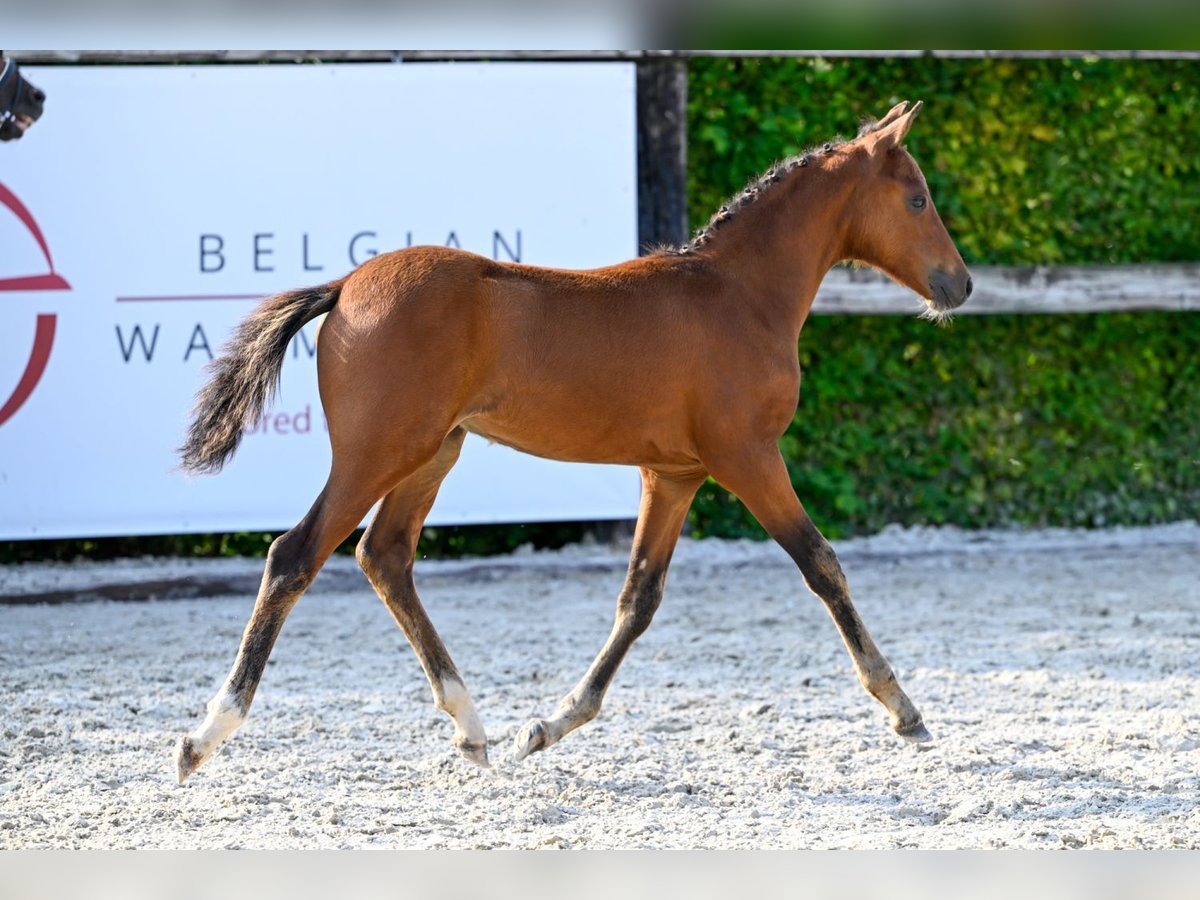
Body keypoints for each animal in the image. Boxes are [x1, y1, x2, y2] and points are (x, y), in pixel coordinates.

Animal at [174, 102, 969, 782]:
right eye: (918, 198)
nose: (958, 285)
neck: (739, 295)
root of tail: (344, 286)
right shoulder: (746, 456)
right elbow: (821, 564)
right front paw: (903, 709)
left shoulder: (674, 474)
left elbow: (639, 597)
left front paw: (550, 724)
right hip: (378, 454)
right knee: (295, 556)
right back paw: (205, 735)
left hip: (433, 453)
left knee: (386, 557)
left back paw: (471, 726)